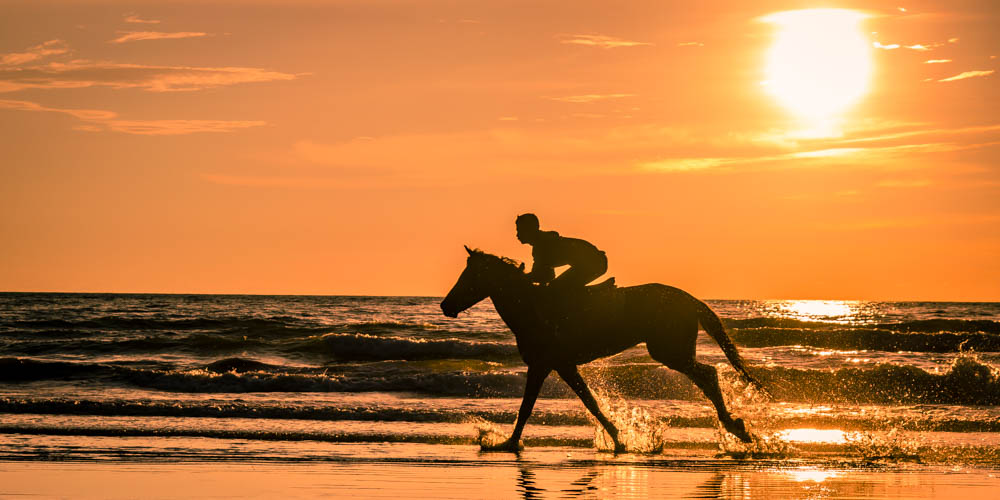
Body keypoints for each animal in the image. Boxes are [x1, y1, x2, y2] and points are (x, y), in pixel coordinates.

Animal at [440, 247, 764, 454]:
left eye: (470, 276)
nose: (445, 306)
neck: (531, 308)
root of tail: (689, 298)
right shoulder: (560, 365)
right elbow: (588, 403)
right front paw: (618, 439)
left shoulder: (545, 365)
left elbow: (530, 407)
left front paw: (507, 443)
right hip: (673, 352)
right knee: (706, 376)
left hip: (669, 352)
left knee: (708, 375)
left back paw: (736, 428)